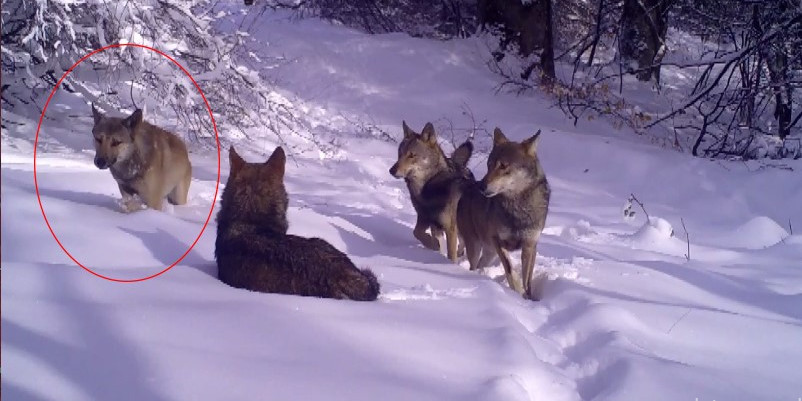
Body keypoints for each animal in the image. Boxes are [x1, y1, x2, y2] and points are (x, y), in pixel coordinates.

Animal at [390, 120, 472, 260]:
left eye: (412, 155)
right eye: (400, 154)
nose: (391, 170)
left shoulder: (450, 229)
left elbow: (451, 255)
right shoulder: (424, 218)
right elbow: (416, 232)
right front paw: (432, 245)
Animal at [456, 126, 552, 298]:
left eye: (503, 166)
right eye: (488, 165)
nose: (481, 186)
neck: (518, 208)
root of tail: (468, 187)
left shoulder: (530, 245)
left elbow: (527, 280)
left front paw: (528, 297)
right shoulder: (498, 240)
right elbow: (510, 270)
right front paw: (518, 293)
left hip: (489, 253)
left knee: (479, 265)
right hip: (476, 246)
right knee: (473, 265)